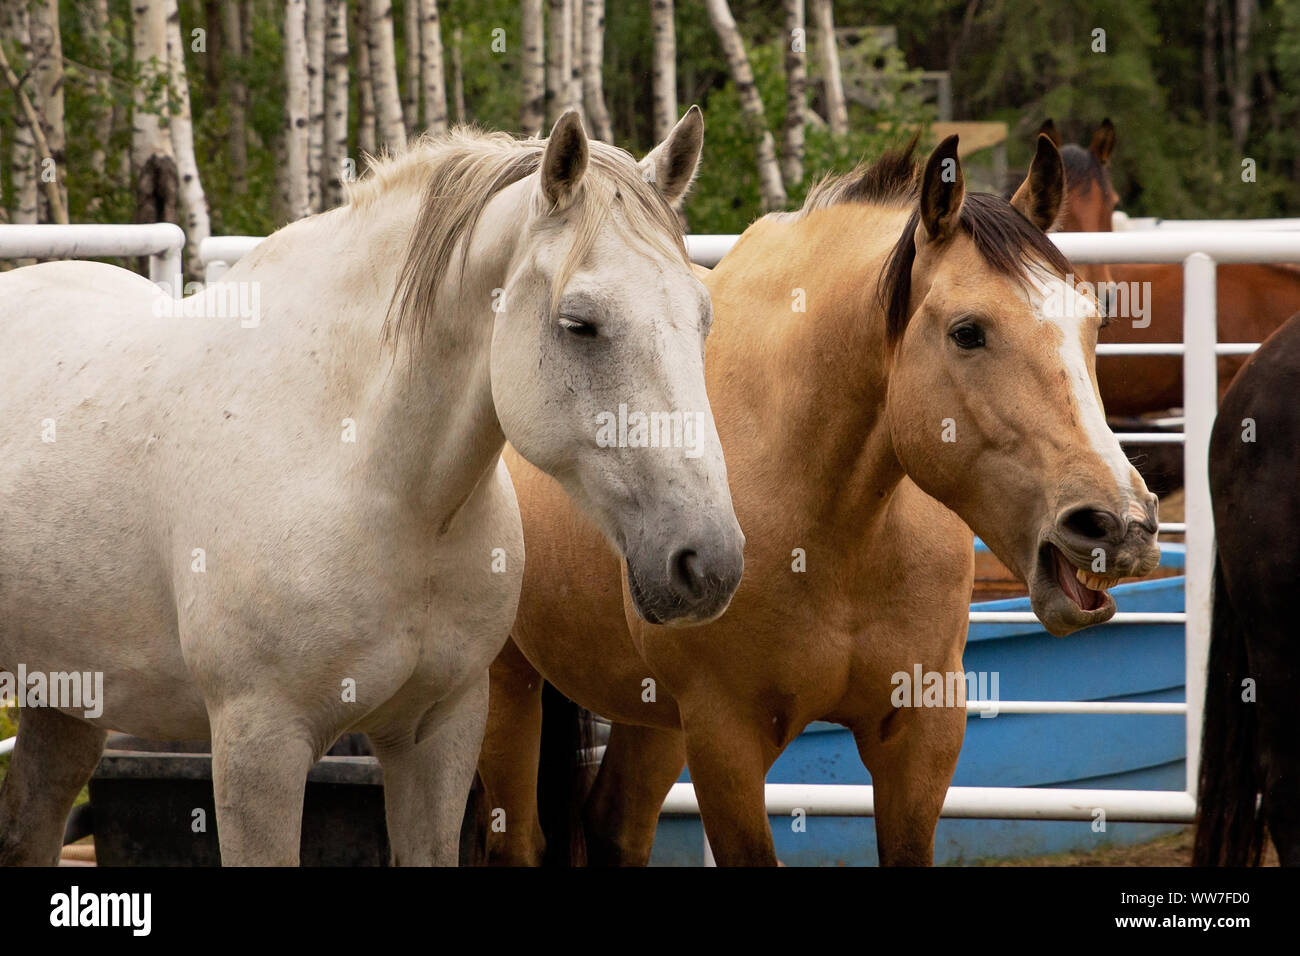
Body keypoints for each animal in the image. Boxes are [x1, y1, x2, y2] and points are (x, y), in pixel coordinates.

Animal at [0, 109, 745, 866]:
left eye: (704, 318)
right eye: (579, 324)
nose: (707, 563)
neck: (384, 489)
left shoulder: (438, 733)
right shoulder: (258, 744)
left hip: (65, 699)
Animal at [476, 132, 1162, 866]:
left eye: (1091, 320)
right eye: (967, 332)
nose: (1117, 524)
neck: (836, 529)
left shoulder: (922, 734)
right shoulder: (726, 740)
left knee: (616, 824)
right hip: (506, 687)